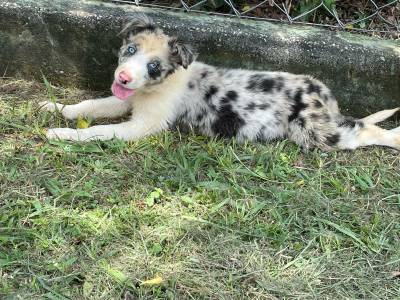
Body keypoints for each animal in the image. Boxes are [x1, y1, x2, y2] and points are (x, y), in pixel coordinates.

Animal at [40, 13, 400, 152]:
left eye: (154, 66)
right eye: (131, 50)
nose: (123, 76)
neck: (159, 85)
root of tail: (325, 97)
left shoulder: (143, 125)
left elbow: (98, 130)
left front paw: (61, 134)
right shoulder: (126, 98)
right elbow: (90, 105)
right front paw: (54, 107)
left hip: (315, 132)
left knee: (365, 131)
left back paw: (394, 138)